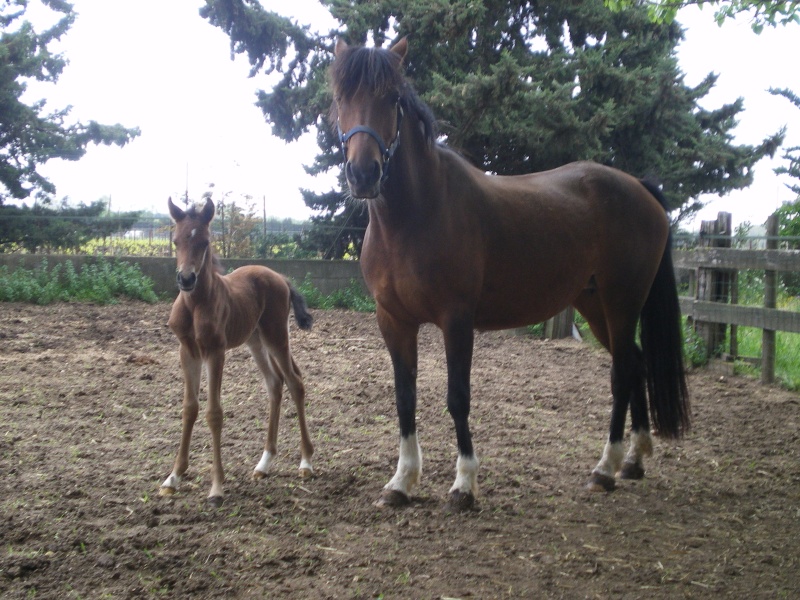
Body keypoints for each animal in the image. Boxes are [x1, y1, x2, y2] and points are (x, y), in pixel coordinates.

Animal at [160, 198, 316, 506]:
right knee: (275, 383)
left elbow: (214, 413)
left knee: (295, 382)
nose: (186, 279)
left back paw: (305, 462)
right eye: (175, 241)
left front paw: (216, 488)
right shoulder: (187, 351)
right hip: (255, 341)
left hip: (276, 336)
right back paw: (263, 464)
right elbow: (189, 408)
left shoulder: (215, 351)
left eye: (205, 241)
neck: (196, 304)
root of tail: (280, 277)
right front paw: (173, 477)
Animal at [328, 36, 692, 510]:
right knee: (636, 363)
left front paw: (464, 484)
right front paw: (402, 482)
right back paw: (633, 460)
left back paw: (605, 468)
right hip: (596, 305)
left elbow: (457, 398)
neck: (416, 216)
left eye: (392, 98)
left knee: (623, 374)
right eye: (340, 98)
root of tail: (640, 188)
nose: (364, 173)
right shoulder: (393, 321)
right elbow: (404, 398)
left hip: (621, 301)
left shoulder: (456, 320)